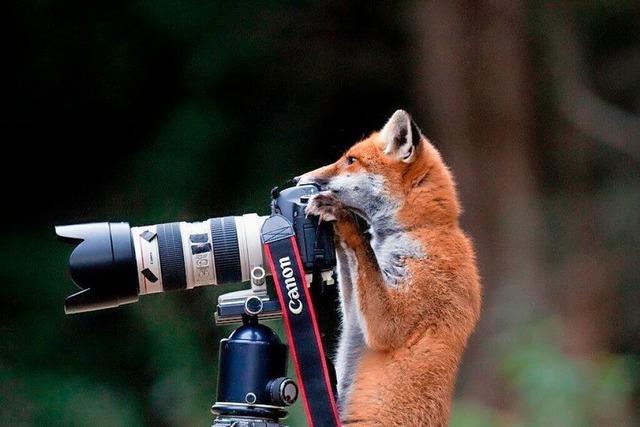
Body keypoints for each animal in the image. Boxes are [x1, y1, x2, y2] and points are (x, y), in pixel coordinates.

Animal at [296, 111, 480, 427]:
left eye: (350, 160)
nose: (298, 180)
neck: (420, 229)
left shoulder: (392, 321)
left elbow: (363, 250)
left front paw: (341, 217)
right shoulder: (354, 314)